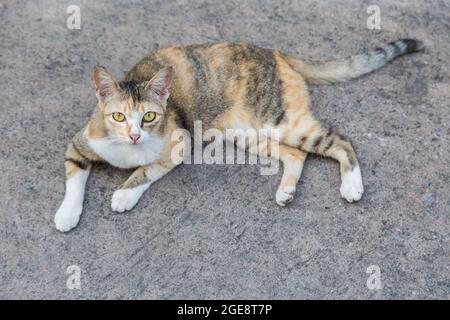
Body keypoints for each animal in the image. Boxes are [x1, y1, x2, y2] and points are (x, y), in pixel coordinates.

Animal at [54, 39, 424, 232]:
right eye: (118, 116)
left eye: (149, 117)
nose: (133, 135)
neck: (126, 151)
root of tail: (276, 53)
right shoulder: (80, 144)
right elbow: (74, 181)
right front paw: (66, 214)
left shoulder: (179, 144)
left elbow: (145, 170)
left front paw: (123, 194)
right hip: (245, 134)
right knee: (296, 154)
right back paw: (286, 191)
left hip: (283, 121)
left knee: (341, 141)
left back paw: (351, 186)